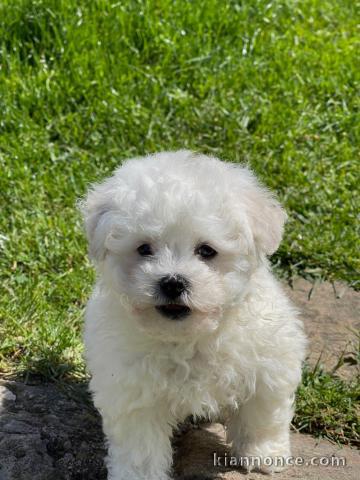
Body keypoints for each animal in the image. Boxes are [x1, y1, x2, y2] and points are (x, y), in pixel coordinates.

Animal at [81, 152, 306, 480]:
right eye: (144, 248)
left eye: (207, 251)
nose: (173, 282)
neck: (190, 337)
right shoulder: (132, 390)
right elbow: (140, 446)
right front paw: (138, 475)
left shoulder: (269, 363)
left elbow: (262, 413)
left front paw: (263, 454)